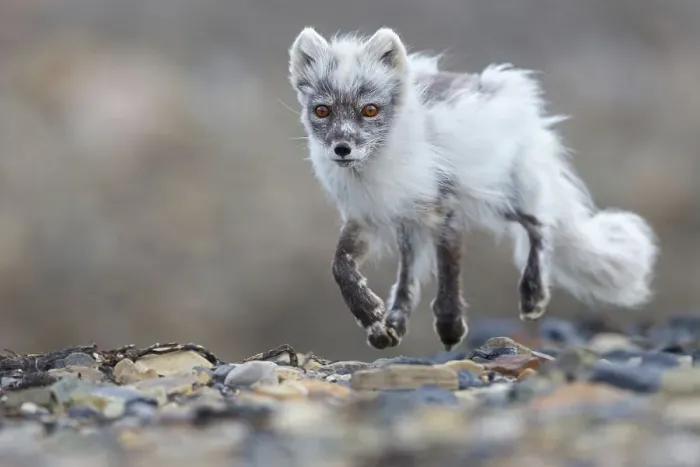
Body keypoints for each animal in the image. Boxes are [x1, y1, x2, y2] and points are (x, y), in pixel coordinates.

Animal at [287, 27, 659, 351]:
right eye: (322, 110)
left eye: (370, 110)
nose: (342, 148)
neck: (375, 172)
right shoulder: (364, 218)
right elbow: (341, 268)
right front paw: (370, 316)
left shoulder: (445, 209)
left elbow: (449, 274)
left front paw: (450, 326)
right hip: (412, 224)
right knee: (408, 280)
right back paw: (391, 325)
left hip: (498, 197)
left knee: (541, 224)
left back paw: (533, 294)